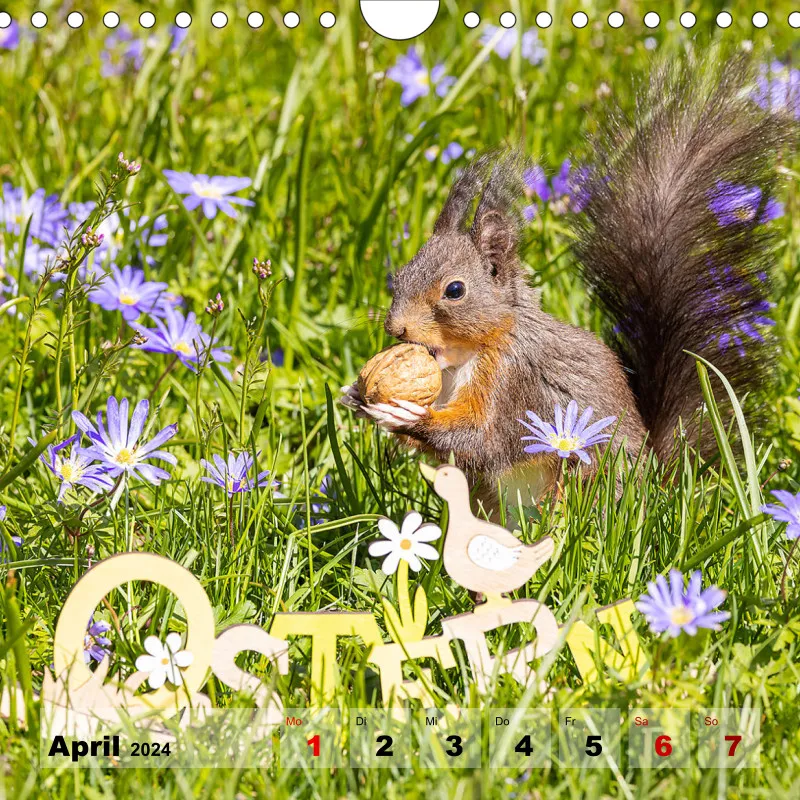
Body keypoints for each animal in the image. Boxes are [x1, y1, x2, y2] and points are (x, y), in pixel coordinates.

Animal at [341, 57, 795, 508]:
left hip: (583, 478)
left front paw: (407, 414)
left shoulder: (516, 385)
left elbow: (483, 438)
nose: (395, 328)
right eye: (400, 275)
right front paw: (357, 397)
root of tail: (656, 487)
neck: (467, 356)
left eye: (454, 291)